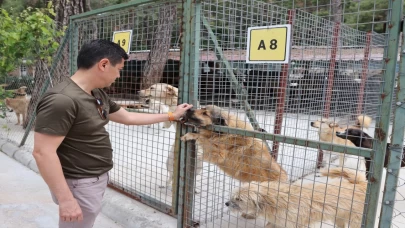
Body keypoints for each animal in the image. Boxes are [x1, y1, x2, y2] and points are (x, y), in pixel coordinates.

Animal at [226, 167, 368, 227]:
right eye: (234, 196)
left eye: (239, 199)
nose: (226, 203)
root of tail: (361, 184)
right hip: (339, 218)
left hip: (355, 220)